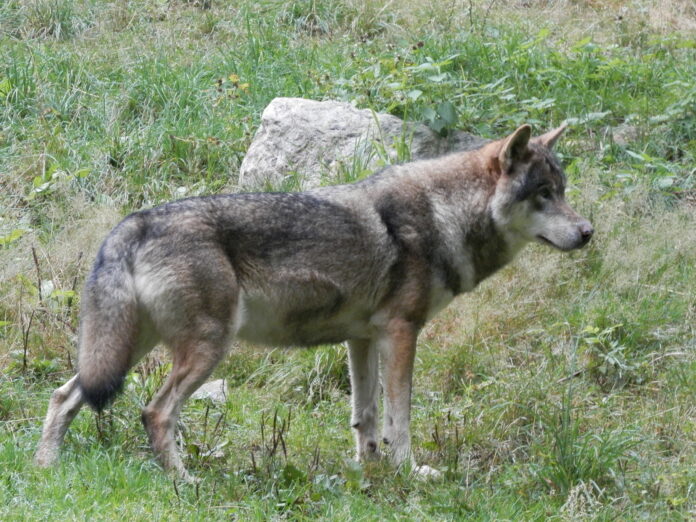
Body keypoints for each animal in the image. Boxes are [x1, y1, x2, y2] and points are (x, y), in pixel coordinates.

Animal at [35, 124, 592, 480]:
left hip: (123, 352)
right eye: (543, 194)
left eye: (563, 190)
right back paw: (183, 483)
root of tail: (134, 222)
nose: (588, 232)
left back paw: (45, 469)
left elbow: (366, 416)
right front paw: (409, 472)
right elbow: (401, 417)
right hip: (205, 349)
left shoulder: (362, 339)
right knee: (154, 413)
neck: (446, 215)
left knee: (65, 395)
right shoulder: (401, 332)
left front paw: (369, 470)